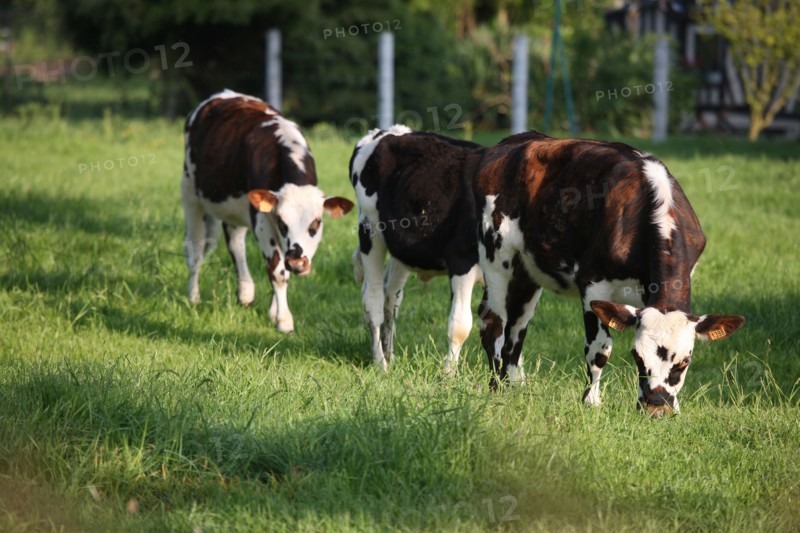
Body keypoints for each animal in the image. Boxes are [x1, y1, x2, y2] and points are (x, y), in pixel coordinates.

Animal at [182, 89, 354, 332]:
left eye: (316, 223)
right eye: (283, 222)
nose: (298, 263)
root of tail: (222, 95)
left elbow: (281, 268)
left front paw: (274, 312)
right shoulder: (263, 221)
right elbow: (278, 271)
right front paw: (284, 320)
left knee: (235, 242)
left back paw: (245, 292)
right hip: (191, 195)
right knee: (195, 250)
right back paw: (194, 297)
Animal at [349, 126, 486, 371]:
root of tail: (384, 131)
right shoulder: (462, 259)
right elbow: (460, 325)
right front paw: (449, 374)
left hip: (401, 249)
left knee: (391, 296)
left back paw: (389, 354)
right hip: (370, 229)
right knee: (372, 299)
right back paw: (380, 363)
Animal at [474, 131, 744, 417]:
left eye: (685, 362)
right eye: (637, 356)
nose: (656, 408)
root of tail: (516, 140)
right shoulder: (593, 283)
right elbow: (599, 350)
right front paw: (591, 401)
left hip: (528, 270)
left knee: (517, 326)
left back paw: (514, 386)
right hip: (495, 254)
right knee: (493, 321)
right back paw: (496, 388)